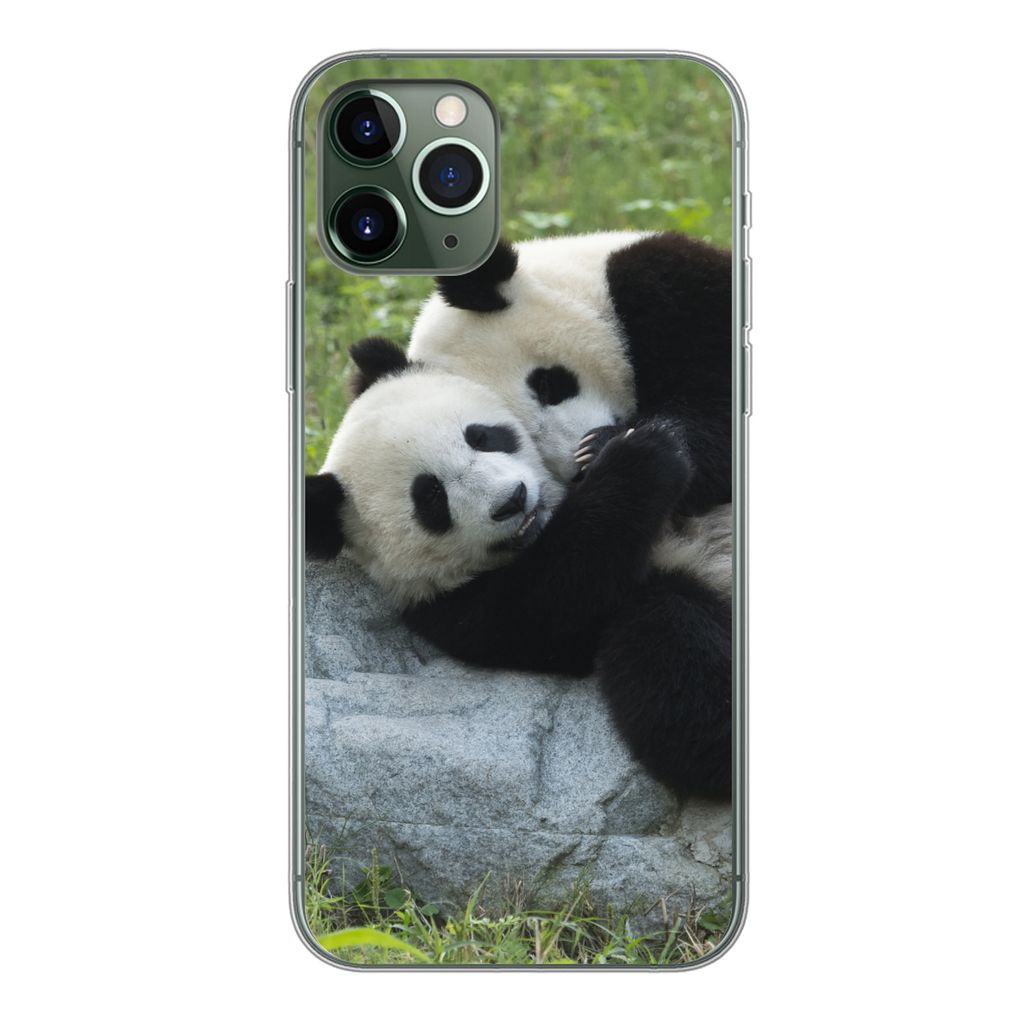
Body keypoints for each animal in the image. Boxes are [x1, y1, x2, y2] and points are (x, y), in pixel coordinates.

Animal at [306, 335, 732, 798]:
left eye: (482, 436)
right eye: (432, 499)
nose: (513, 499)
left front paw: (615, 442)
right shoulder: (451, 607)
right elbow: (554, 602)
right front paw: (642, 456)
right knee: (672, 645)